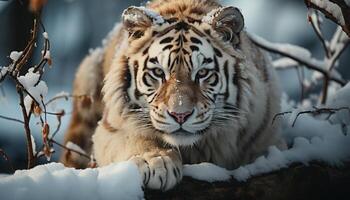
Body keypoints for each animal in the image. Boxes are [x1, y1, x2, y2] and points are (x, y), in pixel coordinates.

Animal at [60, 0, 284, 191]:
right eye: (159, 73)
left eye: (202, 73)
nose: (180, 115)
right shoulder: (110, 129)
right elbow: (134, 138)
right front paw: (156, 163)